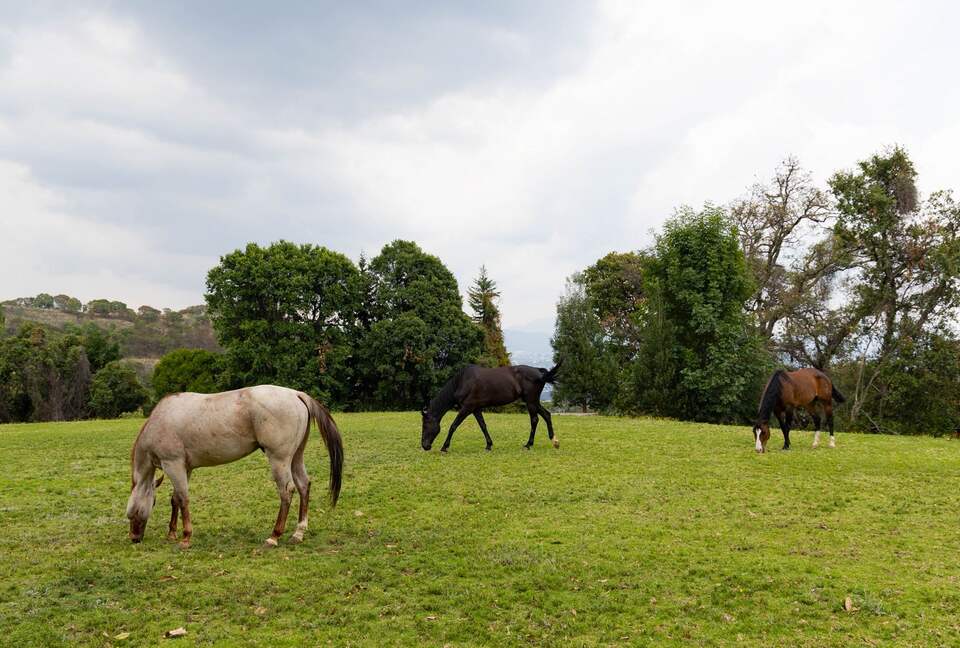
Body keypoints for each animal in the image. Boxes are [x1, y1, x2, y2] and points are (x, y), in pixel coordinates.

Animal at [126, 385, 343, 548]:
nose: (134, 538)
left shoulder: (173, 465)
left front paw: (186, 537)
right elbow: (176, 499)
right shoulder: (184, 468)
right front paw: (172, 533)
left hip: (279, 459)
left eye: (133, 512)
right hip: (295, 457)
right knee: (304, 485)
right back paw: (298, 533)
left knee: (287, 491)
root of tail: (295, 394)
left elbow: (183, 499)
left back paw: (274, 536)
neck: (160, 421)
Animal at [421, 363, 561, 452]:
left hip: (531, 401)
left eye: (425, 425)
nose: (424, 446)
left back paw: (528, 444)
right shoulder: (476, 409)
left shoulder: (467, 408)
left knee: (534, 420)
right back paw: (554, 441)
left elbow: (453, 426)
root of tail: (539, 372)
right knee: (547, 415)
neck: (463, 382)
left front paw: (444, 447)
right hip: (533, 401)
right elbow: (483, 425)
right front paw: (488, 445)